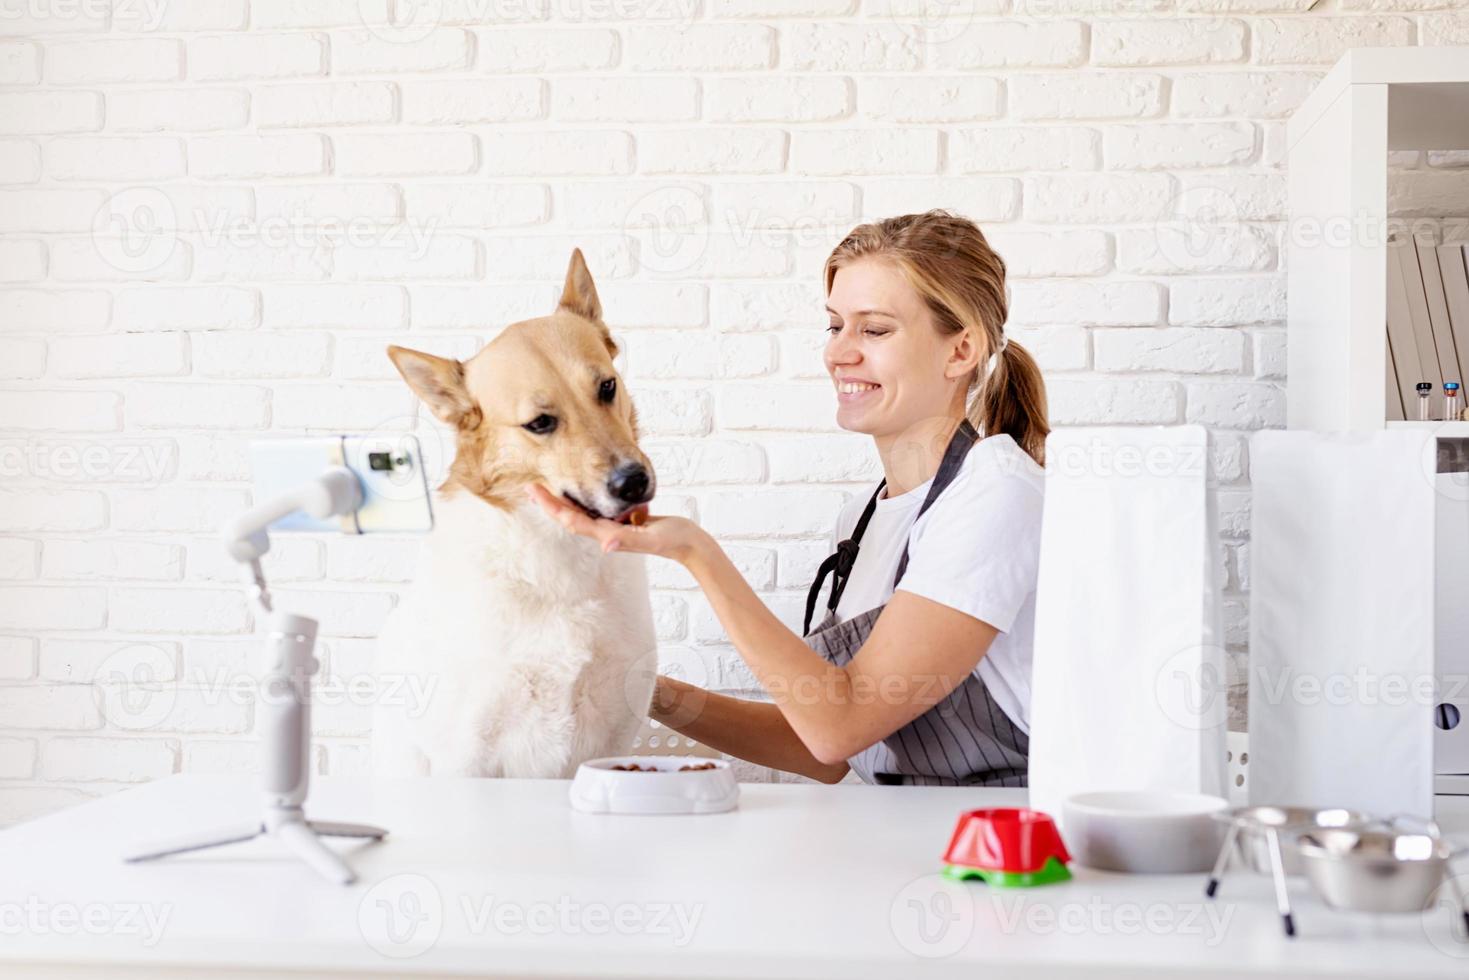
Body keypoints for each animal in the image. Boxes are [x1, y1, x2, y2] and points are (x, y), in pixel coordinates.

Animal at [373, 252, 661, 781]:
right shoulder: (466, 758)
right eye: (540, 423)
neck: (557, 559)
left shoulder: (613, 740)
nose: (632, 483)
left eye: (607, 387)